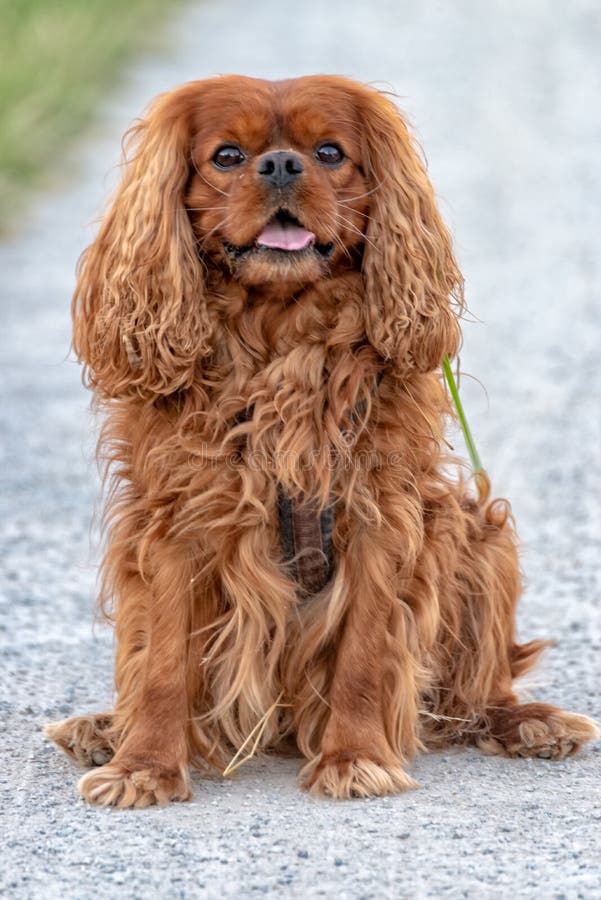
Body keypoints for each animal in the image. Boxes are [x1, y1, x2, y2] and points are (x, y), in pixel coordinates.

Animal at [45, 75, 596, 808]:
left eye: (330, 151)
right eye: (226, 156)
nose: (281, 165)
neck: (282, 340)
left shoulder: (379, 517)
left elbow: (362, 654)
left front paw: (354, 757)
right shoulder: (175, 522)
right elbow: (160, 661)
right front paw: (144, 766)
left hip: (477, 529)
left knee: (475, 694)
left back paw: (528, 722)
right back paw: (104, 728)